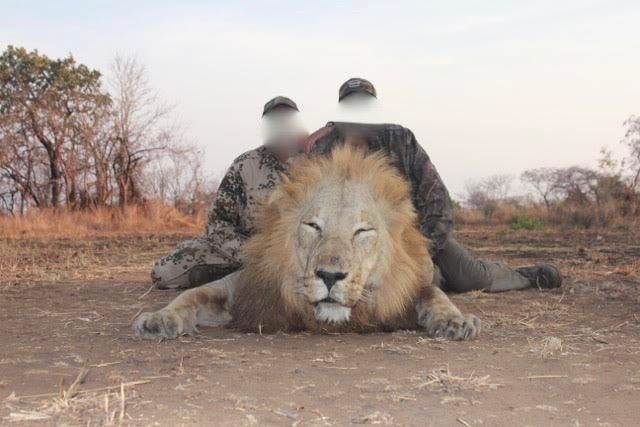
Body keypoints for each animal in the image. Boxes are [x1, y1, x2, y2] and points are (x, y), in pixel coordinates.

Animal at [134, 146, 480, 340]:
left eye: (362, 231)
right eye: (313, 226)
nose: (329, 276)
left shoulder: (408, 287)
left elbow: (434, 294)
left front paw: (457, 321)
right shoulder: (247, 287)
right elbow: (192, 295)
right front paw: (158, 318)